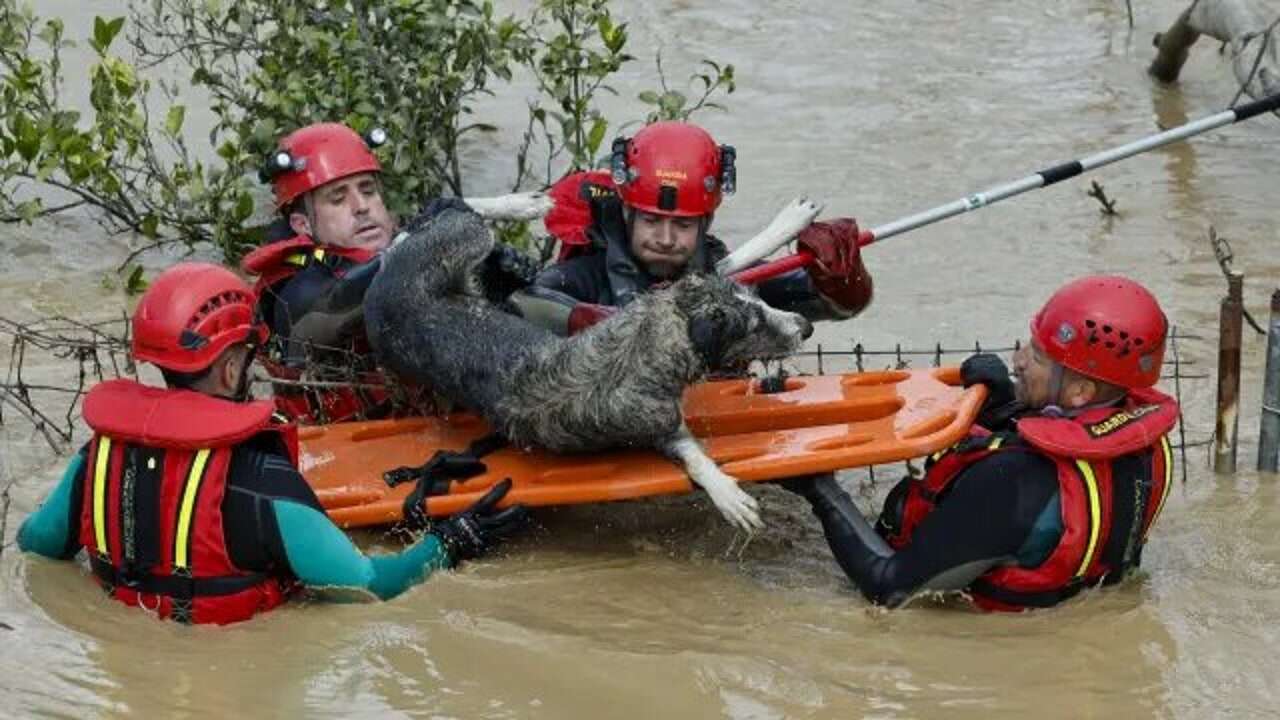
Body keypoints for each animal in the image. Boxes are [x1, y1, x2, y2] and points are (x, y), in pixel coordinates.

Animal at [366, 207, 814, 527]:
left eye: (759, 303)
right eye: (753, 326)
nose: (807, 327)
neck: (652, 337)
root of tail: (381, 294)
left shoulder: (654, 299)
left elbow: (723, 264)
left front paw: (786, 224)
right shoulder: (656, 424)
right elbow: (693, 456)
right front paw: (726, 492)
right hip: (458, 239)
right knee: (454, 215)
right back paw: (523, 202)